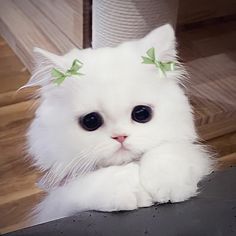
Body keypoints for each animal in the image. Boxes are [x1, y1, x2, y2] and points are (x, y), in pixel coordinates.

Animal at [24, 24, 214, 224]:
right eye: (90, 121)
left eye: (141, 113)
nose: (120, 136)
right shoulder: (58, 199)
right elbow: (92, 183)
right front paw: (129, 192)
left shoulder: (189, 152)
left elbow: (168, 153)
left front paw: (167, 184)